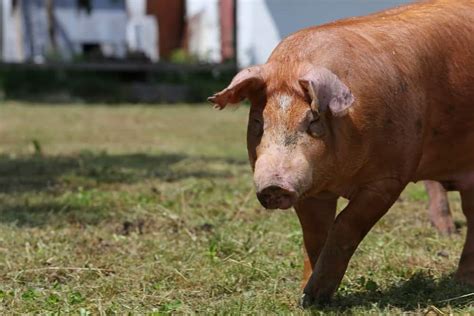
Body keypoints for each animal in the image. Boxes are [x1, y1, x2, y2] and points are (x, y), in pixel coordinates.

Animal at [209, 0, 474, 308]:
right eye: (258, 122)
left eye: (312, 120)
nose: (275, 185)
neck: (340, 178)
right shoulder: (310, 190)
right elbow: (314, 237)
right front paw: (306, 298)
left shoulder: (389, 177)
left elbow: (346, 225)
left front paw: (315, 295)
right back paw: (462, 281)